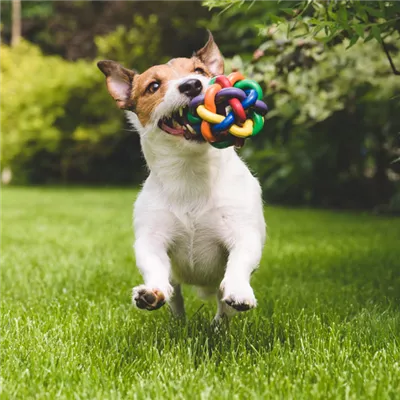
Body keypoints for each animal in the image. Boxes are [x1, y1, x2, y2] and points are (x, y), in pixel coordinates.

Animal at [97, 32, 266, 324]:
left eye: (199, 71)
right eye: (153, 86)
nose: (191, 85)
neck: (190, 172)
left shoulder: (243, 233)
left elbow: (240, 261)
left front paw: (239, 290)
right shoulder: (152, 240)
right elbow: (154, 265)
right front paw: (151, 292)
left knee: (222, 304)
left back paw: (219, 324)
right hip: (175, 282)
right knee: (175, 295)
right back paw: (176, 320)